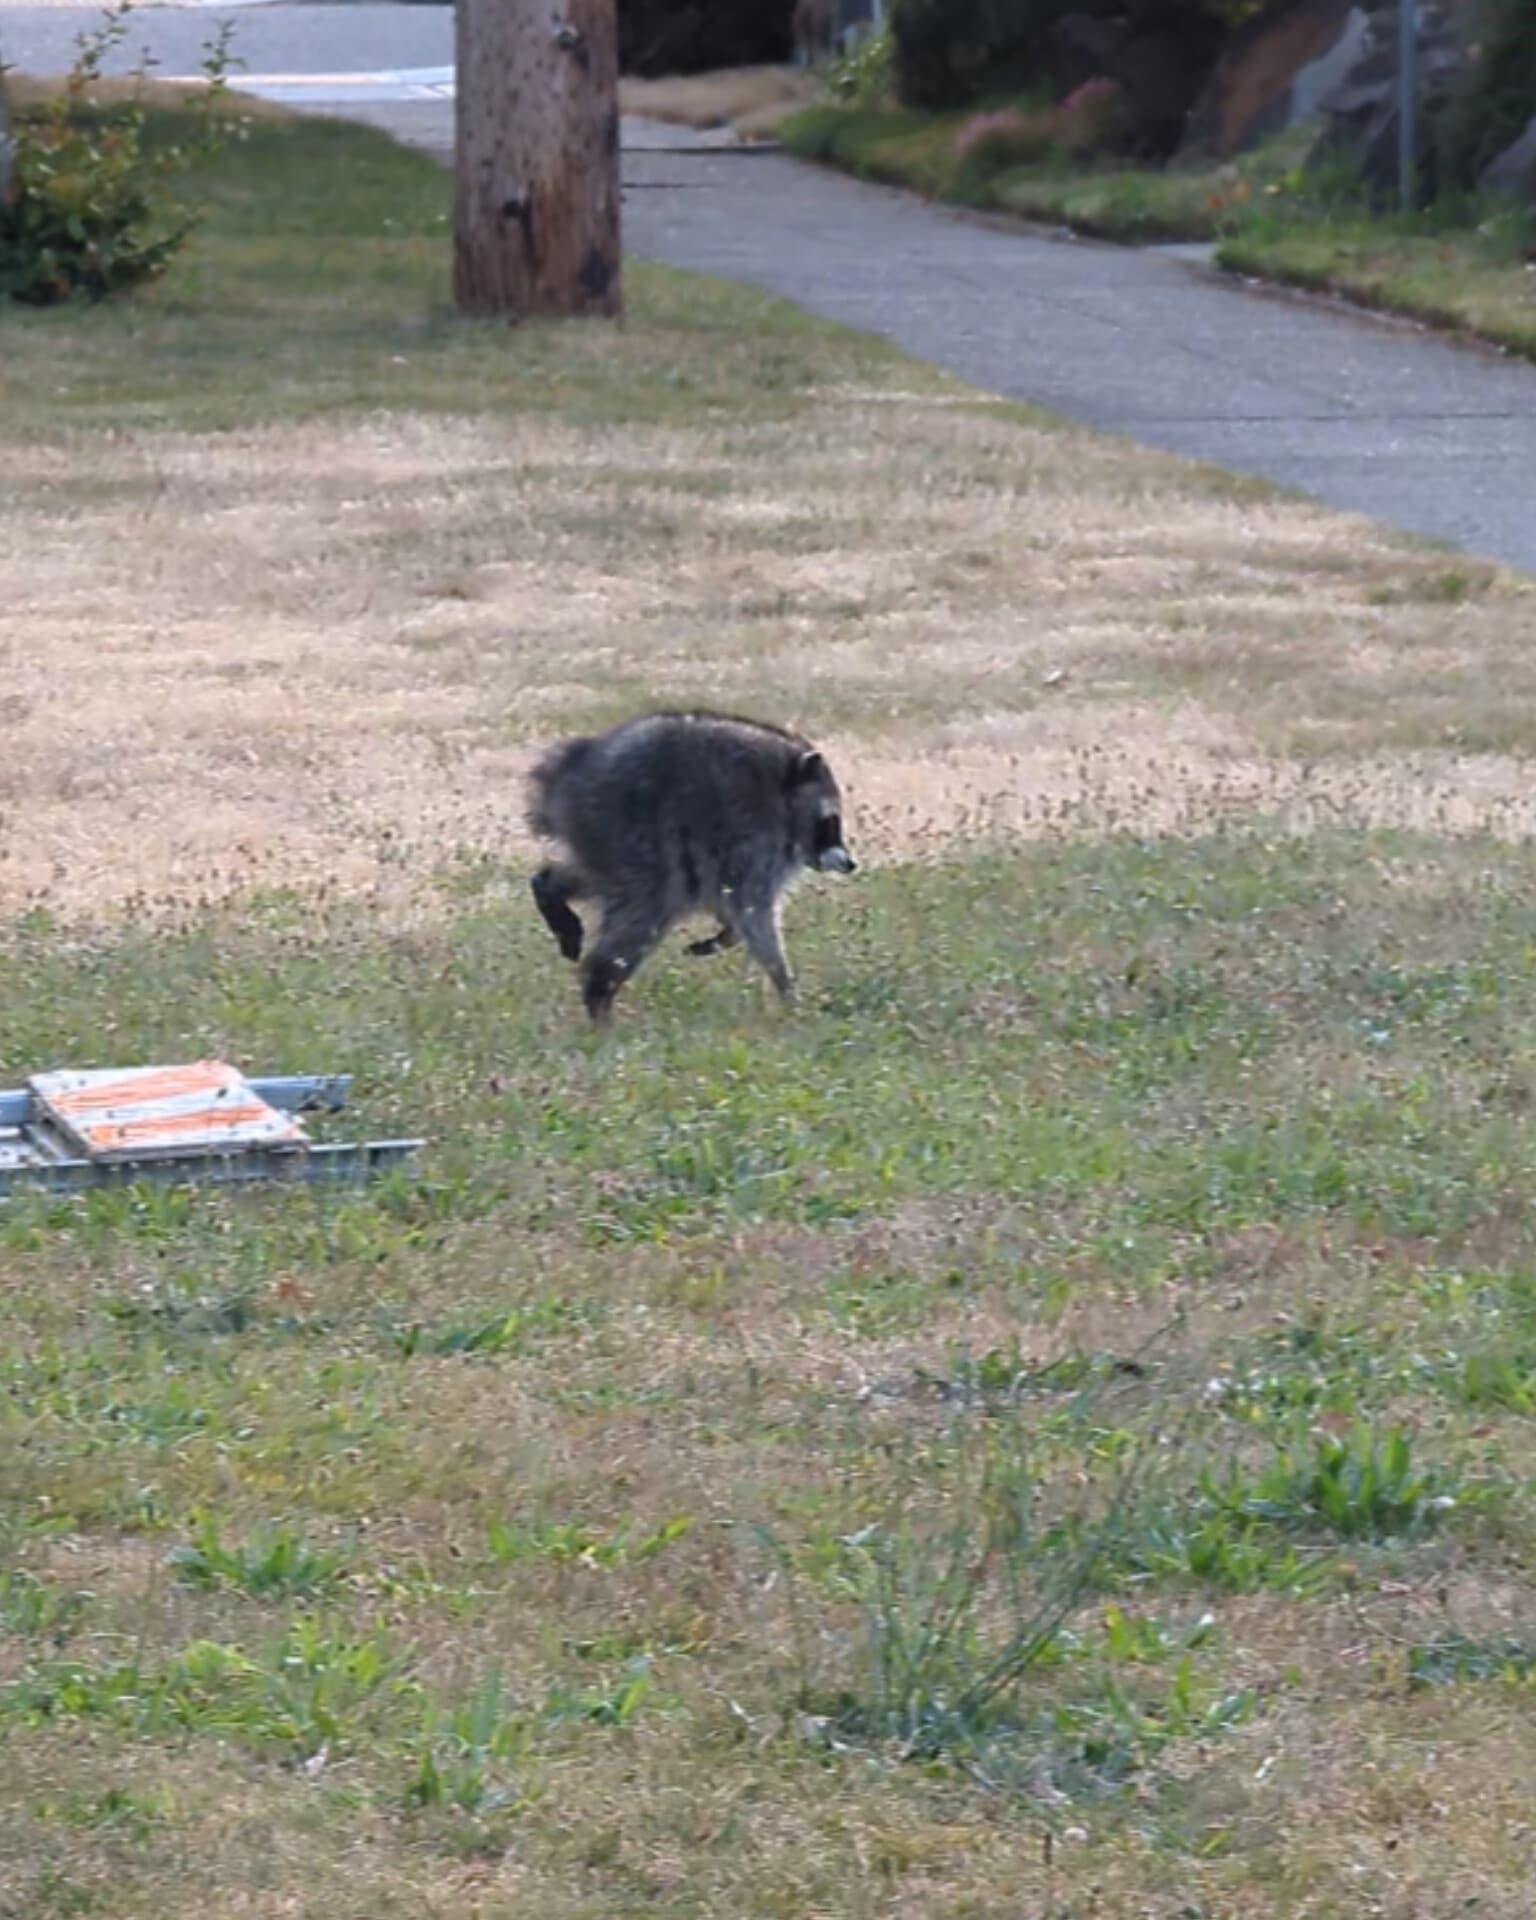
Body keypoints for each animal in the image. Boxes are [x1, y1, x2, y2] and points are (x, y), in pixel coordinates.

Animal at [527, 710, 856, 1023]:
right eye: (831, 822)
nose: (851, 863)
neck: (784, 790)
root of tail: (570, 770)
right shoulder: (757, 840)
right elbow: (753, 913)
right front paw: (785, 985)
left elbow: (730, 905)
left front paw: (726, 937)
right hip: (627, 829)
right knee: (646, 907)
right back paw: (600, 991)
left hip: (602, 839)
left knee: (600, 880)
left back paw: (548, 890)